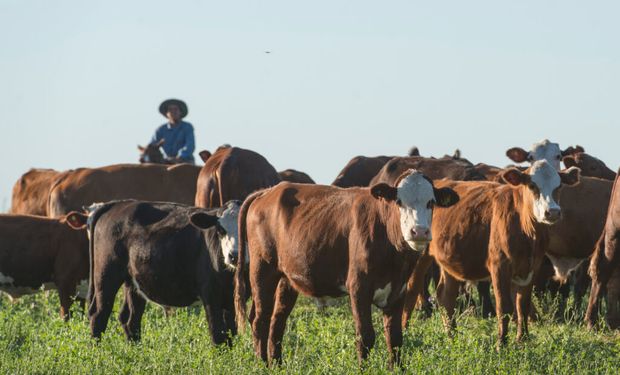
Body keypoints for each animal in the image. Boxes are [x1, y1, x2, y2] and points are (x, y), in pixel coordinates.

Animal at [235, 172, 458, 368]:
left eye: (431, 202)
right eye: (399, 201)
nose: (419, 231)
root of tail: (268, 192)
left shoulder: (398, 290)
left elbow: (395, 339)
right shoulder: (359, 288)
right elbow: (365, 336)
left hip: (286, 279)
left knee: (277, 322)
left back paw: (277, 365)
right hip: (262, 270)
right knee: (260, 320)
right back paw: (262, 365)